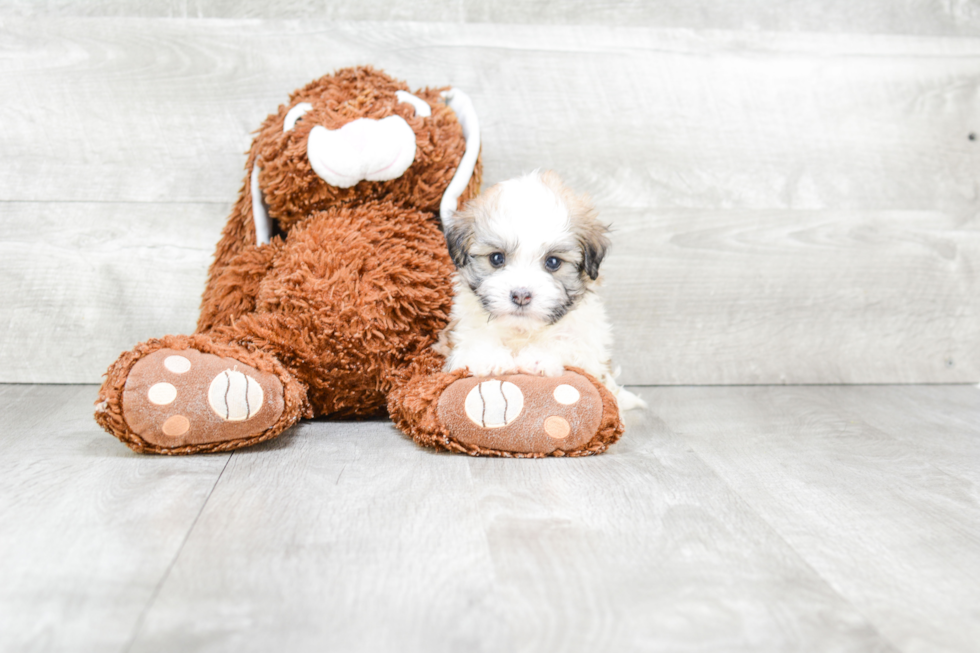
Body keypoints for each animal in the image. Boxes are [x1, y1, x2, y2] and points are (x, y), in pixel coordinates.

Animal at [442, 171, 644, 410]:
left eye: (553, 262)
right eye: (497, 258)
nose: (521, 295)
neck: (523, 331)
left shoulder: (588, 348)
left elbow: (567, 344)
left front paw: (538, 358)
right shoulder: (459, 331)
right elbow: (473, 340)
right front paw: (489, 358)